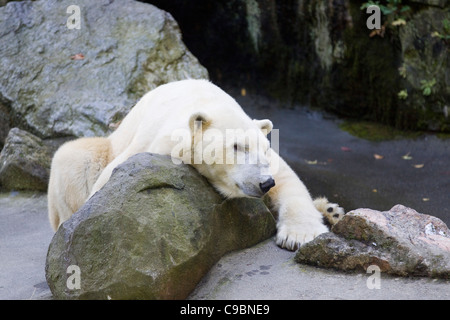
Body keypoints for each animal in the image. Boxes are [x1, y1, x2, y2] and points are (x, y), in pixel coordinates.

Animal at [48, 79, 338, 250]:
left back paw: (331, 210)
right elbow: (108, 181)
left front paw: (300, 235)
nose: (265, 183)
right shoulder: (154, 145)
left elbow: (289, 180)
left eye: (264, 149)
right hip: (104, 148)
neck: (207, 104)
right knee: (71, 158)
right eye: (237, 146)